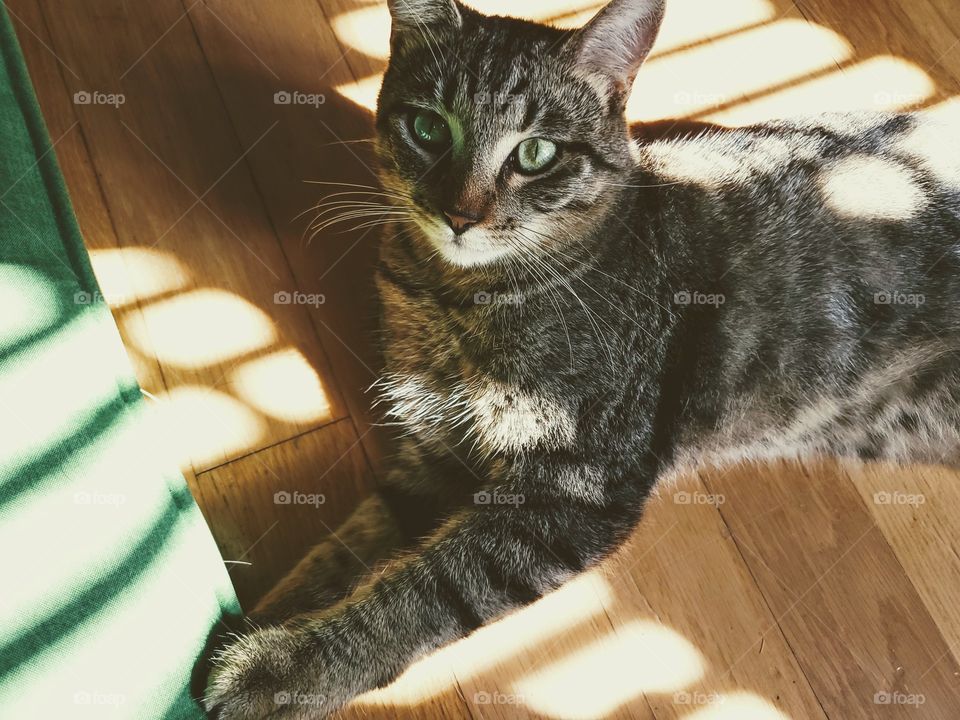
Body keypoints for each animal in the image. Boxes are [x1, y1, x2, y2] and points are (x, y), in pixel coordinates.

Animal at [204, 0, 960, 716]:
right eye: (429, 129)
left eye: (536, 153)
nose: (460, 214)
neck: (454, 299)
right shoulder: (426, 459)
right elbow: (342, 548)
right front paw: (253, 619)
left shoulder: (573, 489)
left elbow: (422, 590)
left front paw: (276, 668)